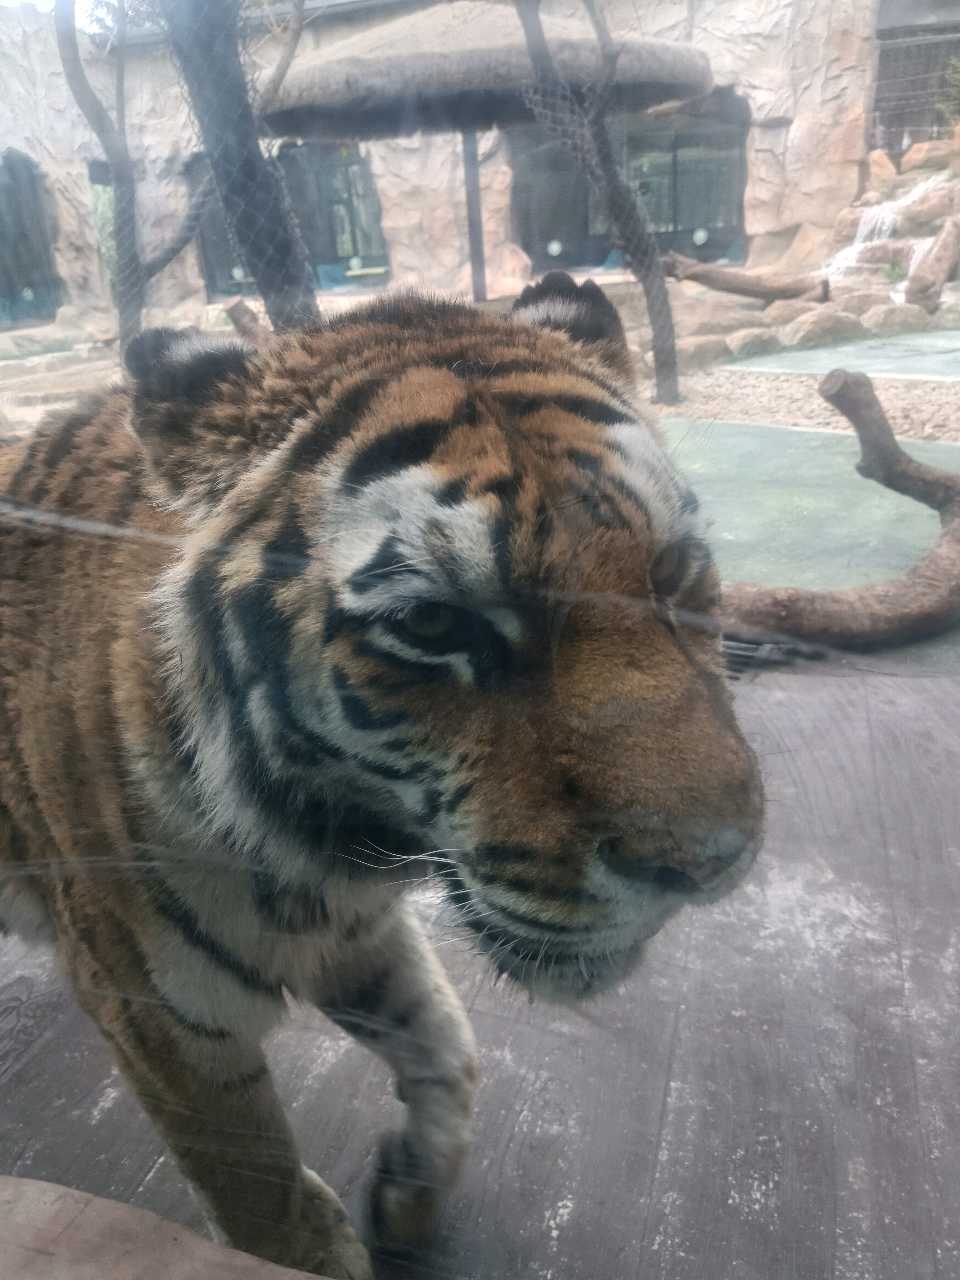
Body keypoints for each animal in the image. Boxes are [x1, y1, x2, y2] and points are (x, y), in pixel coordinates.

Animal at [0, 272, 763, 1278]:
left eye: (673, 569)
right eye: (433, 624)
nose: (708, 866)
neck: (318, 847)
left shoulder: (353, 932)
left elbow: (450, 1046)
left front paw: (407, 1195)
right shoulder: (163, 1016)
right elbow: (260, 1198)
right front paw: (317, 1238)